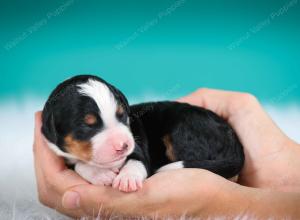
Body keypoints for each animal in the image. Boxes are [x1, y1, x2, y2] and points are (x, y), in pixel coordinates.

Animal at [41, 75, 244, 192]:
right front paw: (100, 174)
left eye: (122, 115)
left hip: (185, 131)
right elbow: (79, 164)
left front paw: (127, 179)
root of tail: (234, 140)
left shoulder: (138, 145)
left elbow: (137, 161)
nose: (123, 145)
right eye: (86, 126)